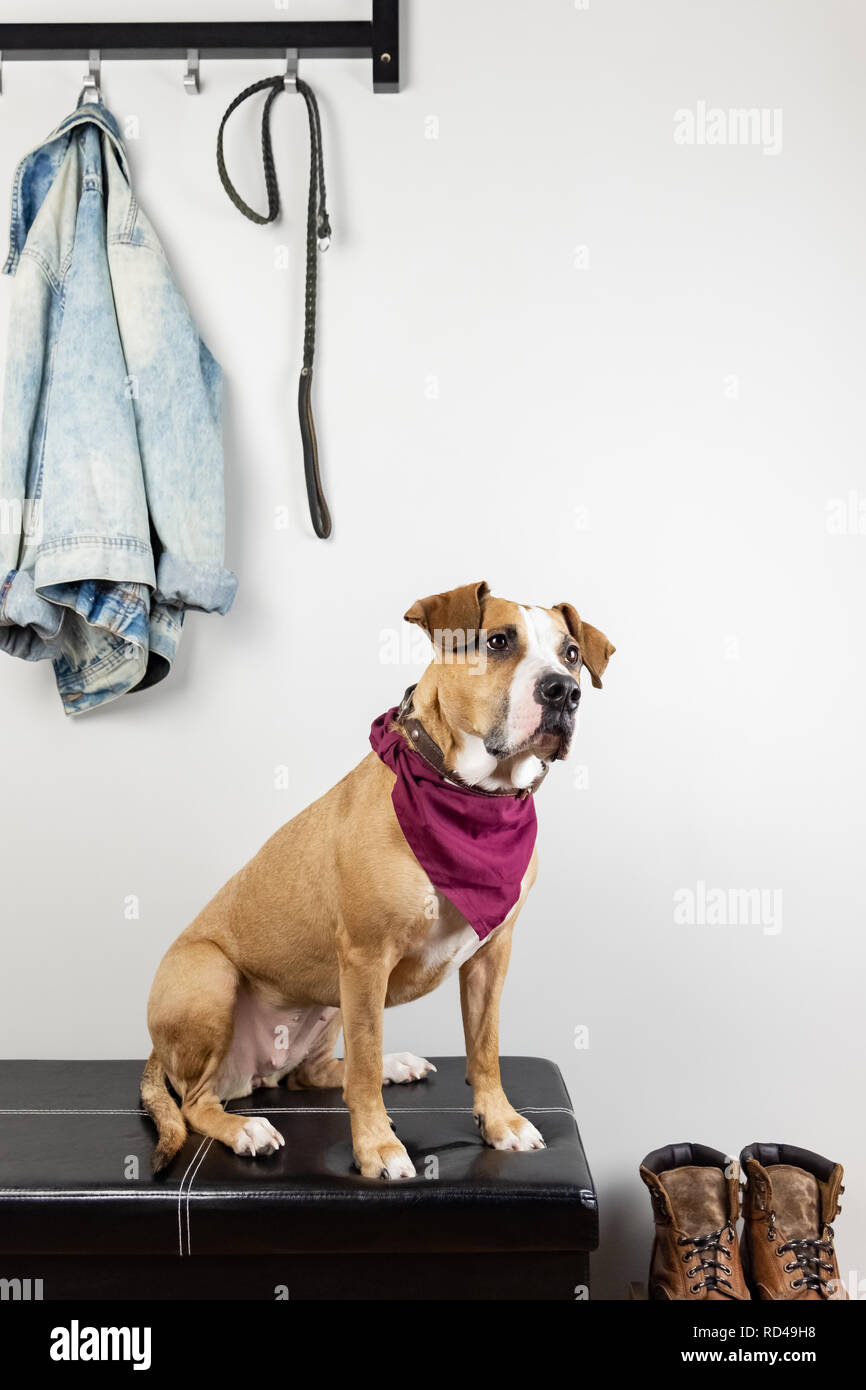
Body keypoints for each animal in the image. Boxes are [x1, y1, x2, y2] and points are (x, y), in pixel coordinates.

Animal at [142, 581, 614, 1178]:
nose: (563, 691)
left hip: (327, 1003)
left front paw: (501, 1121)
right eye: (499, 642)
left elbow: (484, 1047)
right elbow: (363, 1069)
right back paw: (246, 1128)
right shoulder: (367, 958)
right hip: (211, 976)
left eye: (571, 653)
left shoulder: (492, 954)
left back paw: (395, 1064)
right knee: (199, 1102)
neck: (472, 794)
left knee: (311, 1074)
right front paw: (377, 1148)